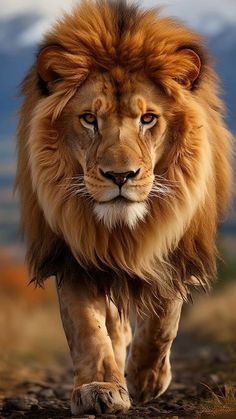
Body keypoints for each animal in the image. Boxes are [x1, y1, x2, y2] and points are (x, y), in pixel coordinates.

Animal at [16, 0, 232, 416]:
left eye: (148, 118)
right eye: (89, 119)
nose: (121, 176)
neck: (121, 229)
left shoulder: (174, 243)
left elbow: (165, 316)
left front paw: (147, 379)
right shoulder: (73, 253)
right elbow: (87, 326)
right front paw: (101, 387)